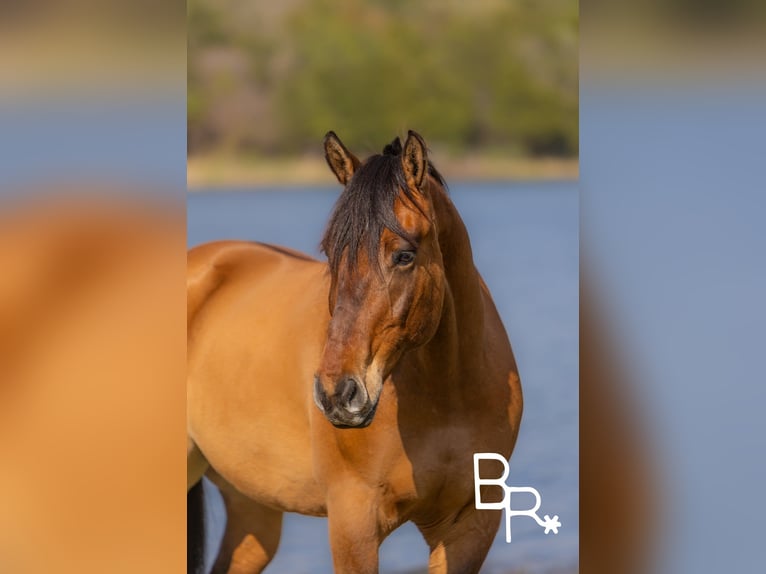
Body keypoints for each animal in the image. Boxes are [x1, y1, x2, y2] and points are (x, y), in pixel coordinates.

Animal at [187, 130, 523, 574]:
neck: (448, 396)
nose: (336, 394)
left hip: (252, 508)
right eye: (332, 253)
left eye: (404, 255)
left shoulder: (470, 525)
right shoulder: (353, 521)